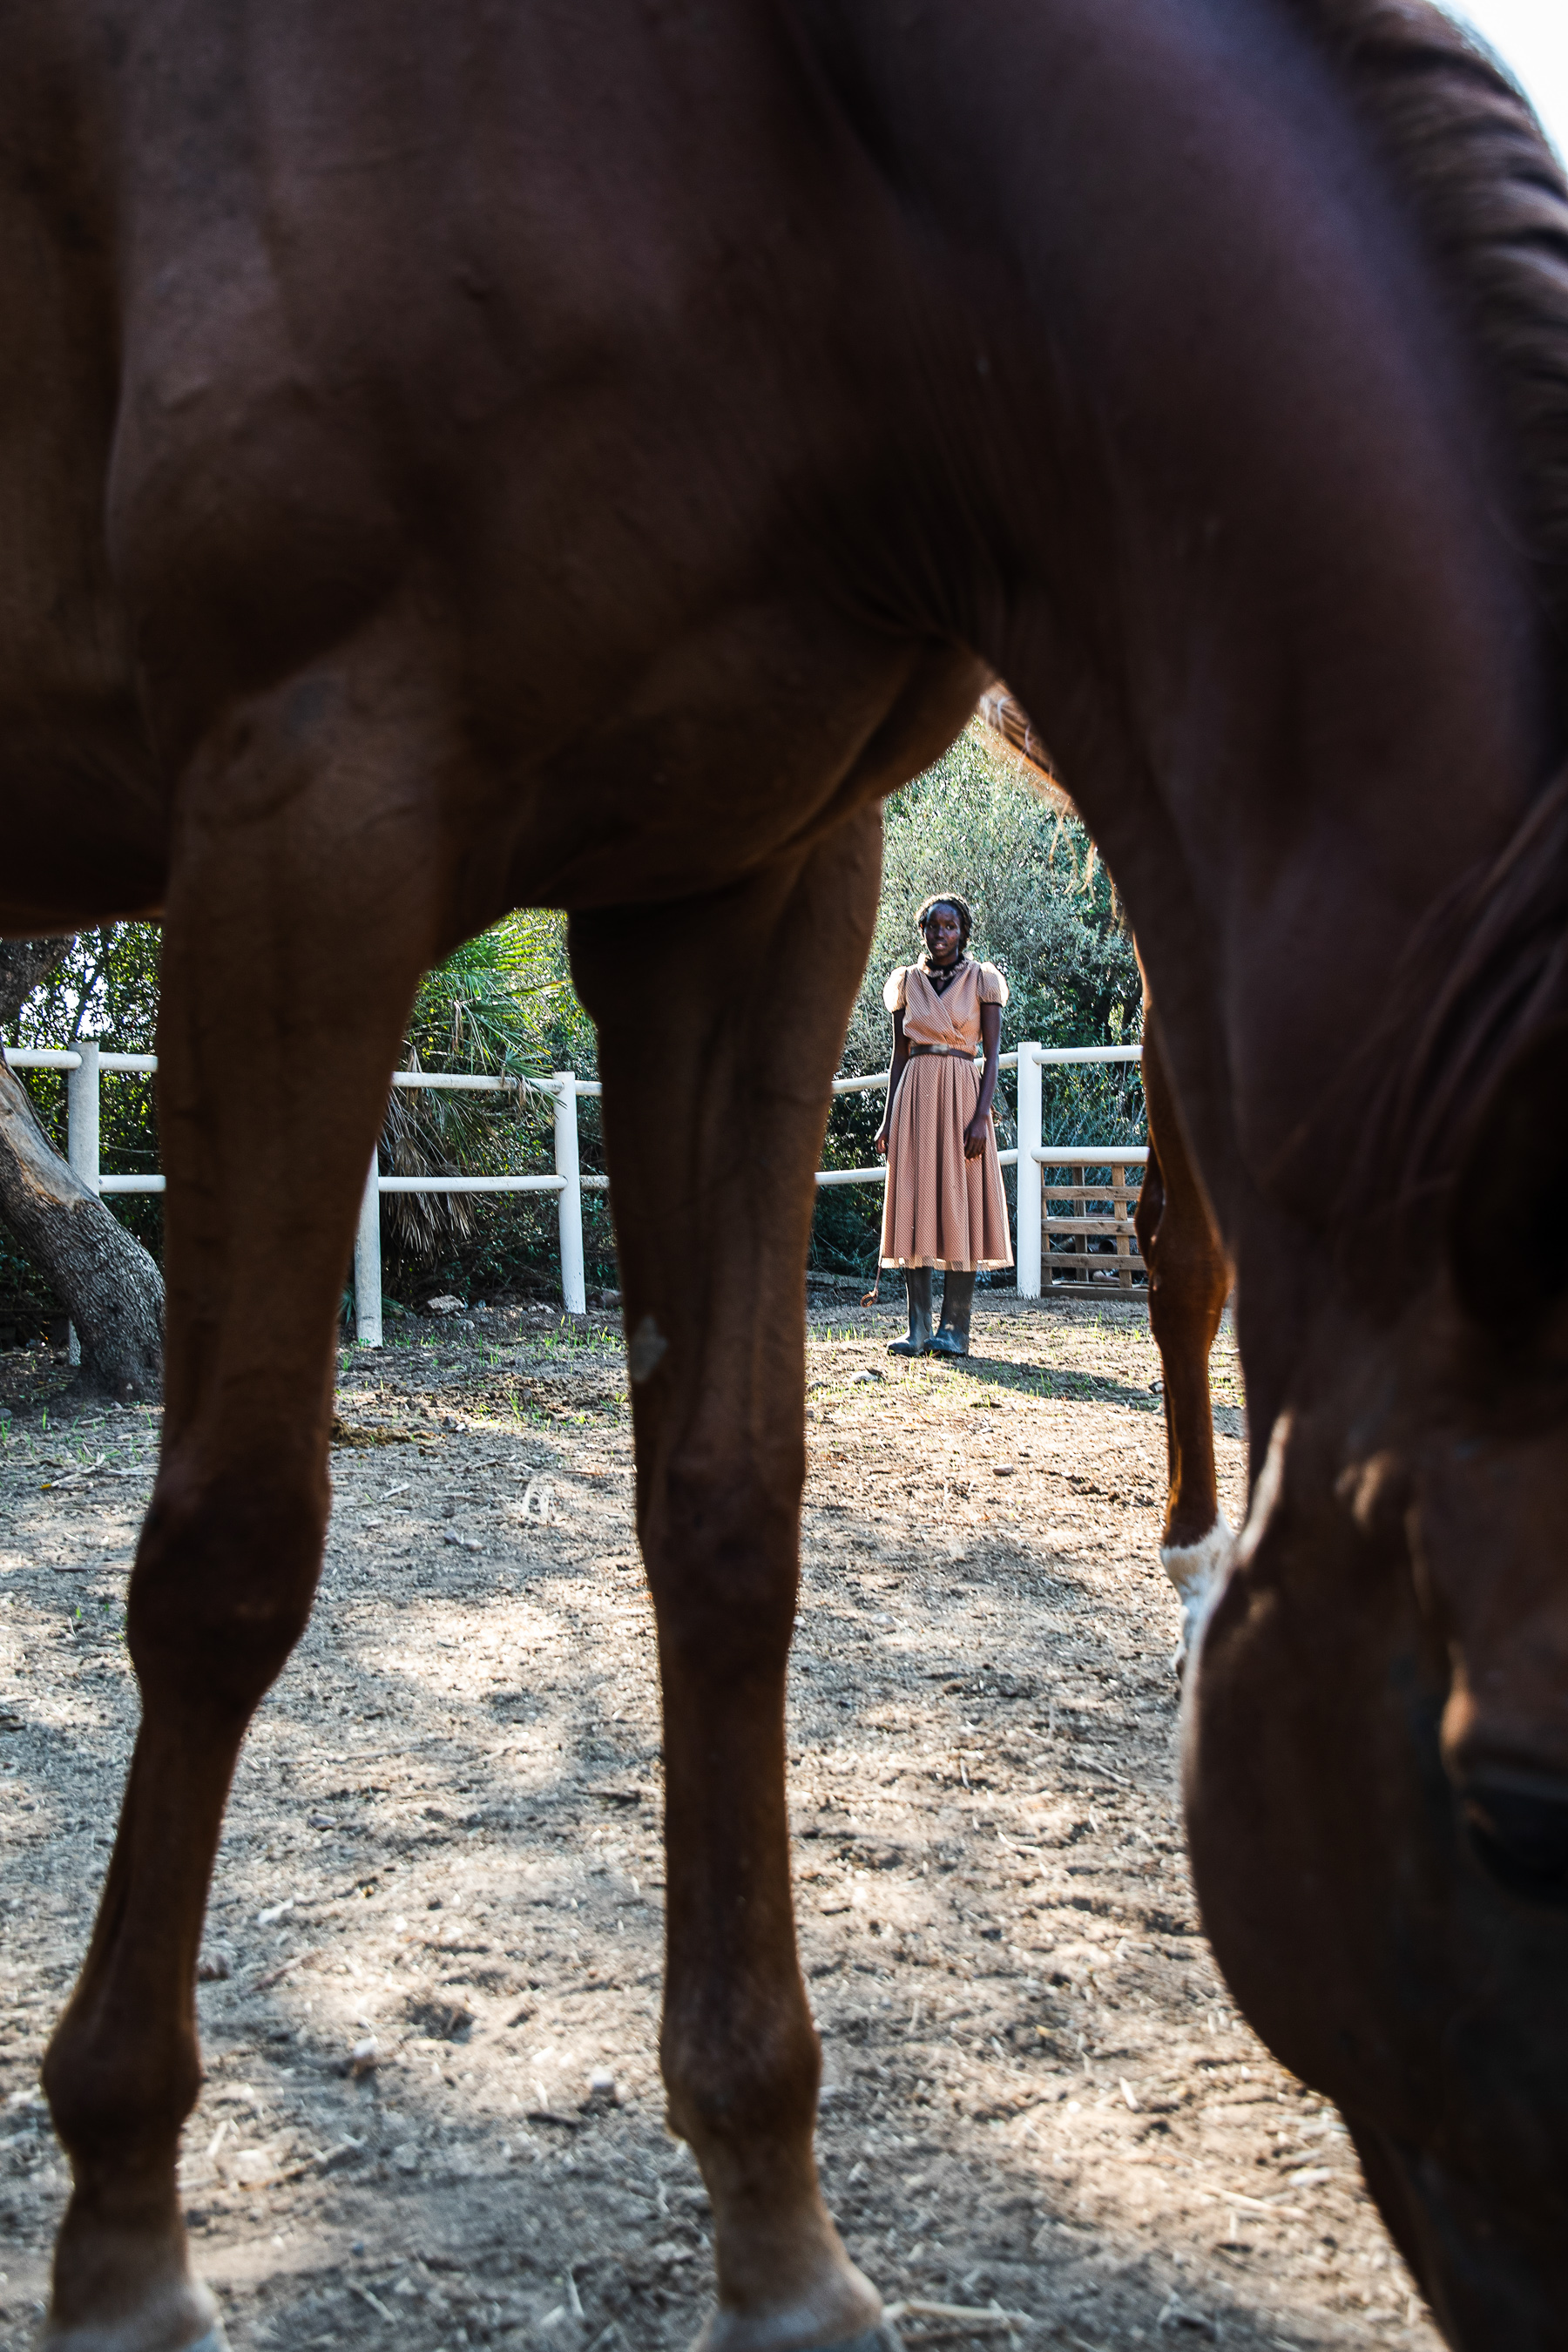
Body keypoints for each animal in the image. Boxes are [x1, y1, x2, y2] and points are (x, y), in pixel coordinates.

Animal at [3, 4, 1568, 2352]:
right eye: (1505, 1801)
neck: (783, 145)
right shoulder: (304, 818)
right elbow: (229, 1554)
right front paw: (121, 2225)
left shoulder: (748, 887)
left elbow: (731, 1527)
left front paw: (775, 2220)